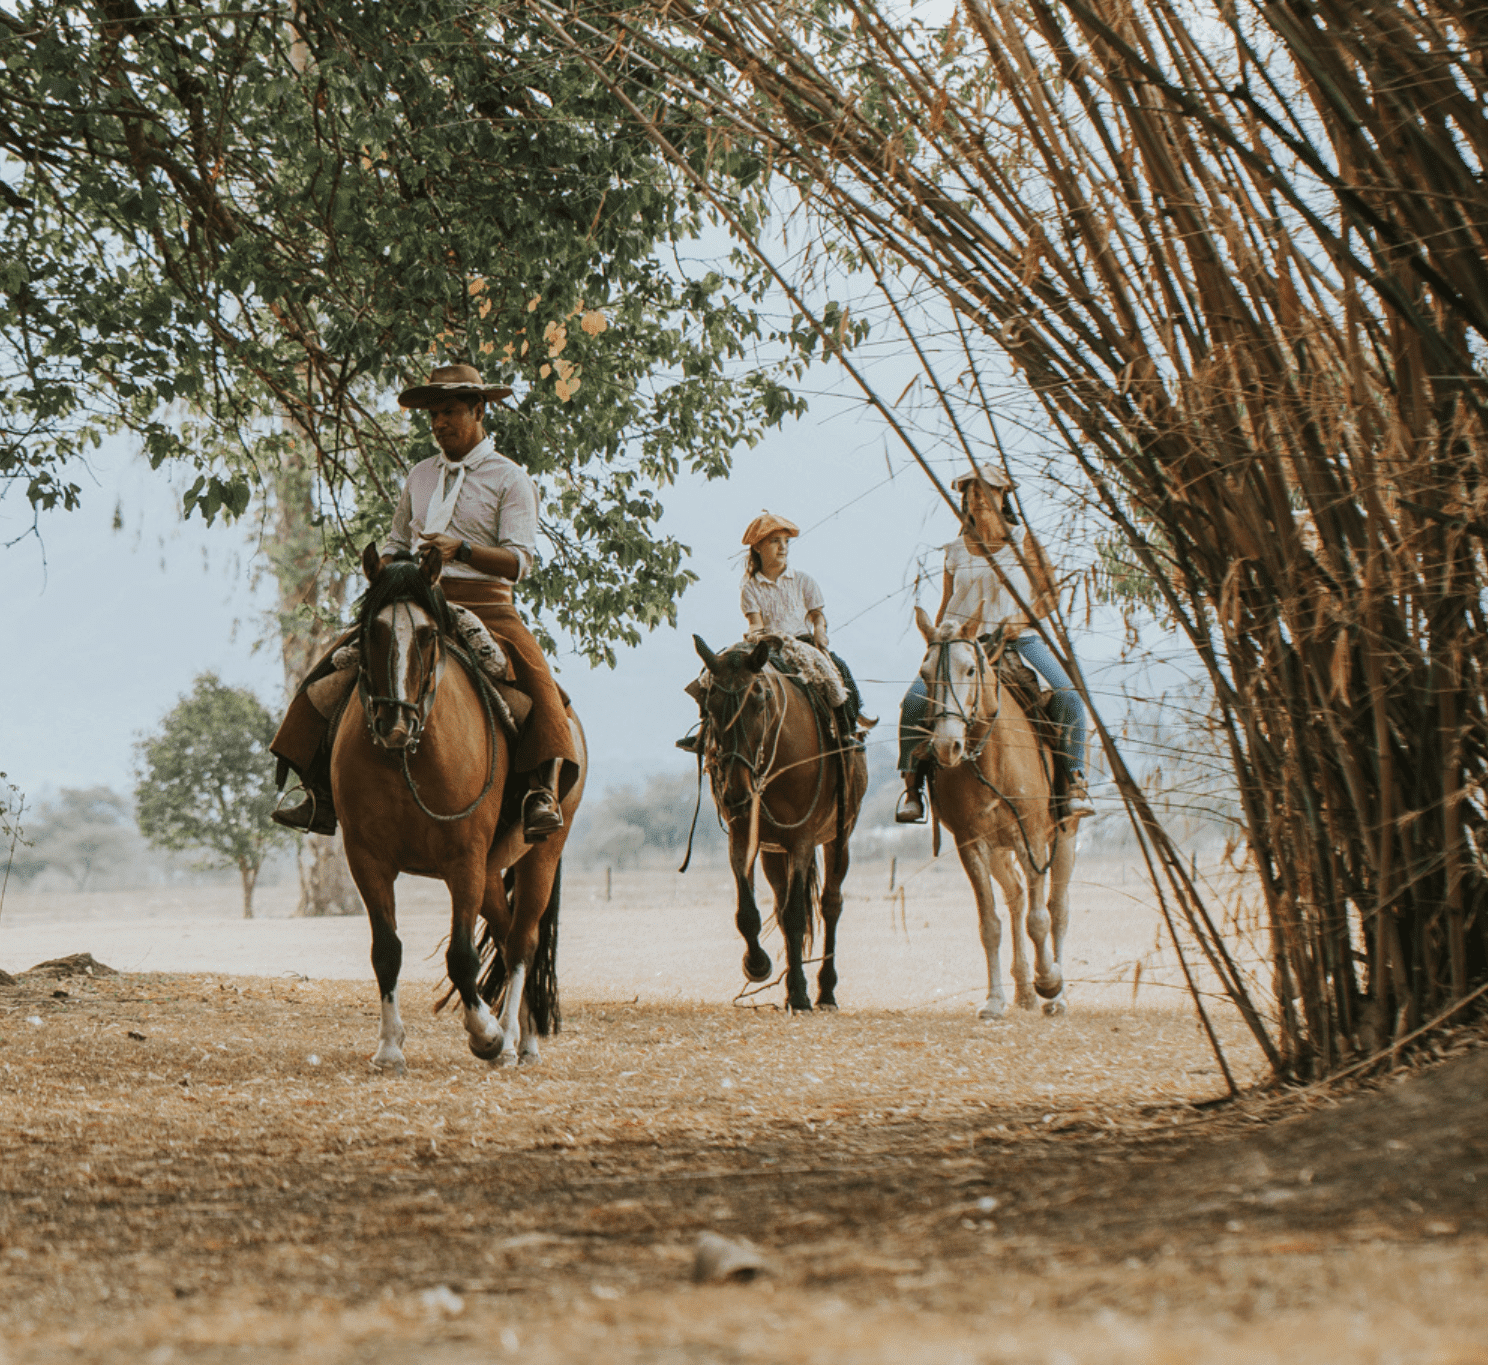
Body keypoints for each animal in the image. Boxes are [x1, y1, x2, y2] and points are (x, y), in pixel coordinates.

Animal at [336, 541, 586, 1065]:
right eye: (373, 630)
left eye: (429, 634)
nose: (394, 722)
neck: (409, 757)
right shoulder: (366, 857)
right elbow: (386, 950)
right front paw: (389, 1047)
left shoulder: (463, 857)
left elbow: (462, 956)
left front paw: (485, 1034)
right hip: (492, 871)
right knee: (508, 934)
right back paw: (524, 1038)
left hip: (539, 857)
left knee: (522, 942)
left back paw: (510, 1039)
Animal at [690, 634, 868, 1006]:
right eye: (709, 705)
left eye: (759, 701)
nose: (736, 792)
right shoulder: (743, 837)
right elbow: (748, 913)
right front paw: (757, 964)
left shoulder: (801, 839)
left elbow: (797, 914)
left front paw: (799, 995)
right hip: (773, 852)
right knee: (784, 903)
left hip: (839, 837)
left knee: (830, 904)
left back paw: (825, 991)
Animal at [910, 607, 1077, 1012]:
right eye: (925, 672)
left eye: (971, 668)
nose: (946, 746)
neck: (992, 759)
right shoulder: (971, 844)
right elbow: (990, 924)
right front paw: (994, 1001)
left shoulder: (1033, 840)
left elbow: (1039, 920)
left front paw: (1049, 981)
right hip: (1000, 849)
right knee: (1015, 896)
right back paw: (1023, 991)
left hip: (1064, 837)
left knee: (1057, 909)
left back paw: (1056, 996)